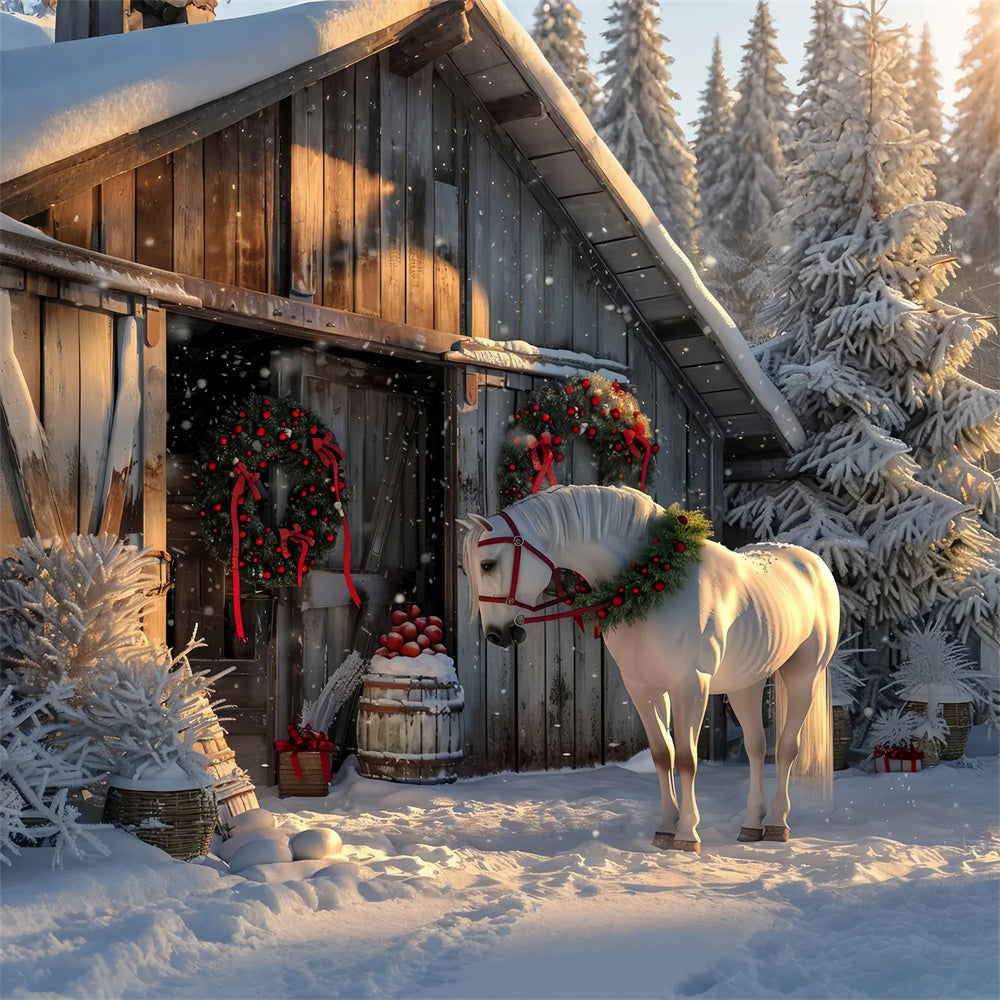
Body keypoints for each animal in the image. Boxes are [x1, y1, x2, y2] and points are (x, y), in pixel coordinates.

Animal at [464, 484, 840, 852]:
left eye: (487, 565)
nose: (496, 634)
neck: (650, 577)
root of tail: (814, 563)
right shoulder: (643, 688)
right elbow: (663, 754)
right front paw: (664, 831)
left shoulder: (691, 685)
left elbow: (687, 758)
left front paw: (687, 834)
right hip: (745, 683)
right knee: (756, 747)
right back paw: (751, 825)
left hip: (803, 676)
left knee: (787, 748)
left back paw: (777, 825)